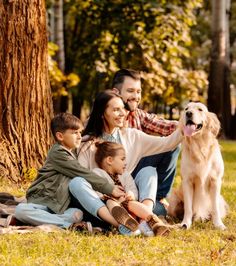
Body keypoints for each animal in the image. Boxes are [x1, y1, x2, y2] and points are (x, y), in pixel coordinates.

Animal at [167, 101, 228, 230]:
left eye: (200, 109)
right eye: (186, 109)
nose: (189, 113)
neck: (200, 145)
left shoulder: (215, 181)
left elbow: (214, 208)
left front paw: (219, 224)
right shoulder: (187, 181)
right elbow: (188, 208)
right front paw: (185, 223)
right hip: (174, 198)